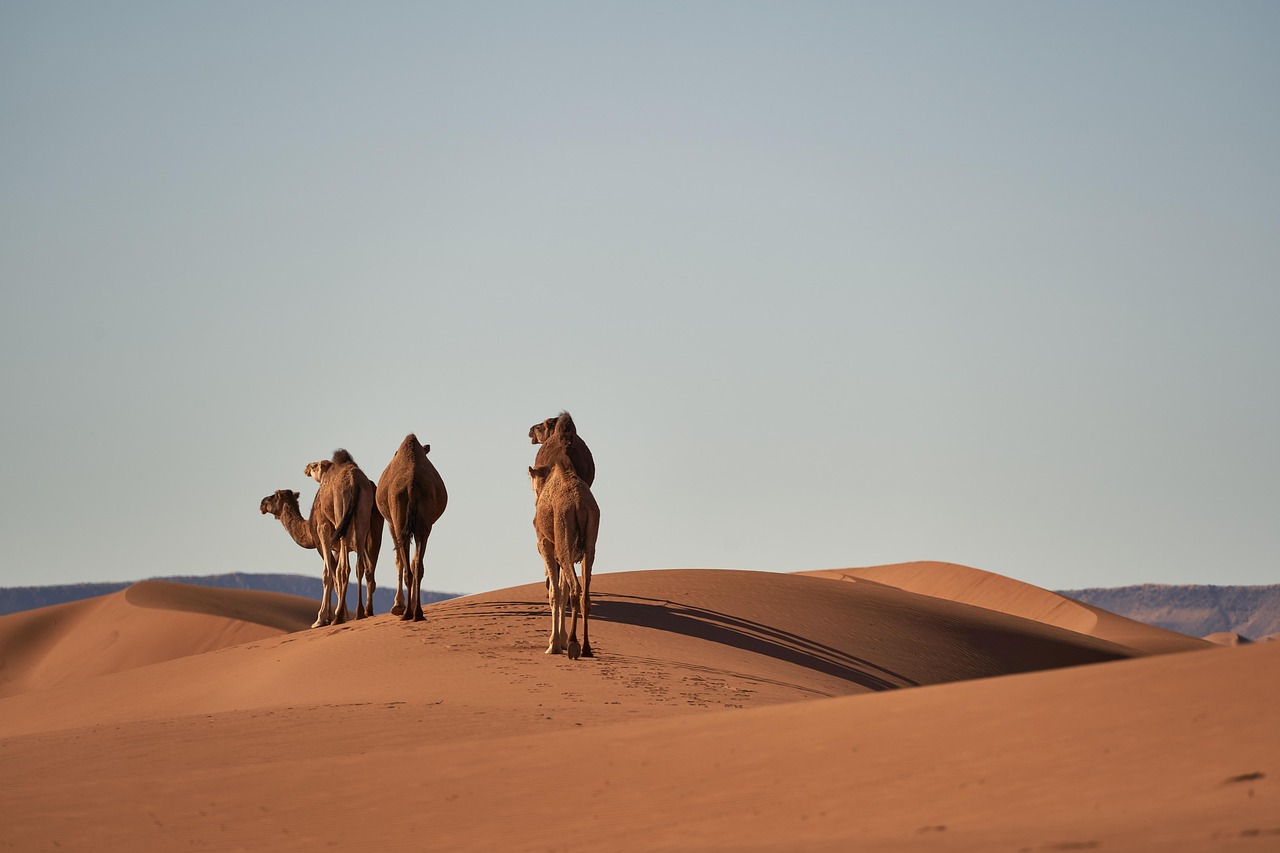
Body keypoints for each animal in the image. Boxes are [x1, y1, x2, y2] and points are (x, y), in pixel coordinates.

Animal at [304, 450, 384, 619]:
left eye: (315, 466)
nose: (306, 467)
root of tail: (354, 482)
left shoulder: (323, 526)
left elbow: (328, 572)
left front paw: (321, 618)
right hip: (362, 515)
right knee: (362, 565)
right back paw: (361, 611)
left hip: (341, 509)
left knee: (344, 568)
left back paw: (340, 615)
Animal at [376, 434, 448, 621]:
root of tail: (411, 485)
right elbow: (414, 561)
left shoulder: (391, 524)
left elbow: (399, 561)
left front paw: (397, 605)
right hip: (423, 524)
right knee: (417, 566)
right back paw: (417, 612)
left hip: (399, 518)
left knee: (408, 565)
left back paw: (407, 612)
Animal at [528, 421, 600, 659]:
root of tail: (579, 505)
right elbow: (562, 590)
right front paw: (559, 640)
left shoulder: (545, 544)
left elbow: (555, 593)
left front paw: (554, 644)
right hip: (590, 542)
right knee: (585, 593)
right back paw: (586, 647)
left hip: (563, 540)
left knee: (576, 589)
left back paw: (574, 644)